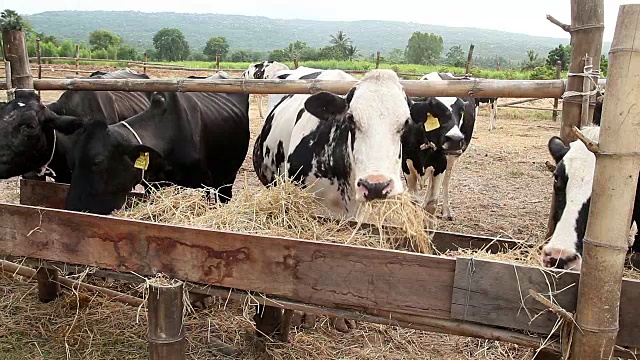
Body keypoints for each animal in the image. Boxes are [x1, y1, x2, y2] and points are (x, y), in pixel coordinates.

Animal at [54, 73, 250, 214]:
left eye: (97, 161)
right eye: (72, 161)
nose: (73, 209)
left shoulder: (202, 182)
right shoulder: (153, 185)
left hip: (227, 178)